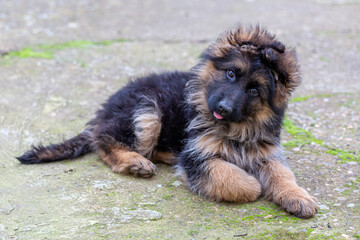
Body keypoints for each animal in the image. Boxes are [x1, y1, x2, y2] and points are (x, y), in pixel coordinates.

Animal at [18, 25, 320, 218]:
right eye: (232, 74)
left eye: (255, 90)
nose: (222, 108)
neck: (236, 129)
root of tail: (106, 109)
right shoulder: (198, 156)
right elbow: (237, 181)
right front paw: (253, 184)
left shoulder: (267, 153)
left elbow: (283, 174)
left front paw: (298, 196)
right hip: (147, 112)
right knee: (103, 140)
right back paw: (135, 161)